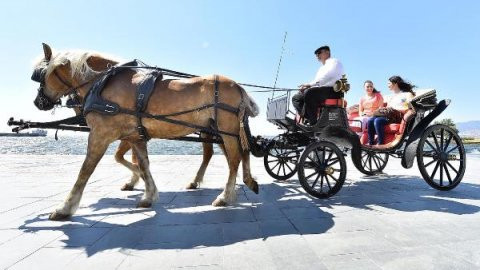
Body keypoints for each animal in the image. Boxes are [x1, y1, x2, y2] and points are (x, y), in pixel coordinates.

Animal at [31, 43, 260, 220]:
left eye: (42, 74)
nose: (38, 102)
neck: (103, 83)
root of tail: (238, 86)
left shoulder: (100, 135)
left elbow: (85, 170)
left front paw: (65, 208)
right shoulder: (135, 136)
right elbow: (142, 163)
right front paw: (148, 193)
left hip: (226, 130)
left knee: (234, 158)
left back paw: (225, 196)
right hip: (222, 131)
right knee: (238, 153)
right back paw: (246, 182)